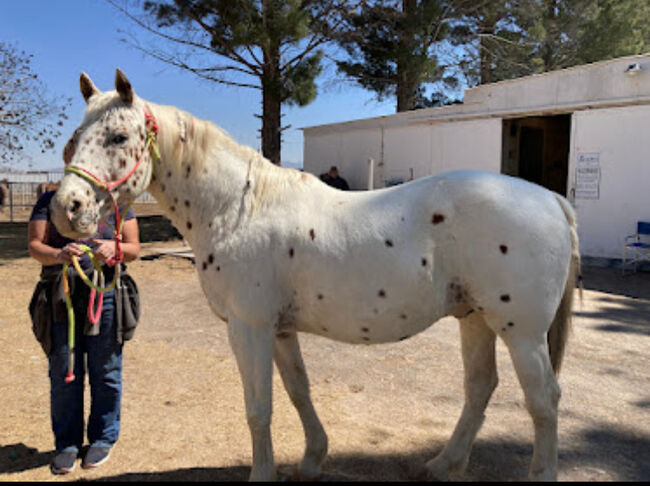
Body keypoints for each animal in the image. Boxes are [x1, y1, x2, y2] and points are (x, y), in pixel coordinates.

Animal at [50, 69, 576, 482]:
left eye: (119, 137)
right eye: (76, 138)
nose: (66, 208)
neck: (238, 208)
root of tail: (550, 198)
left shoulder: (250, 328)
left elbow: (259, 407)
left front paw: (263, 474)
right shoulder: (280, 331)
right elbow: (297, 393)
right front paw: (311, 460)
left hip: (521, 332)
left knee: (544, 400)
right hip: (476, 319)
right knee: (480, 387)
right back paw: (443, 464)